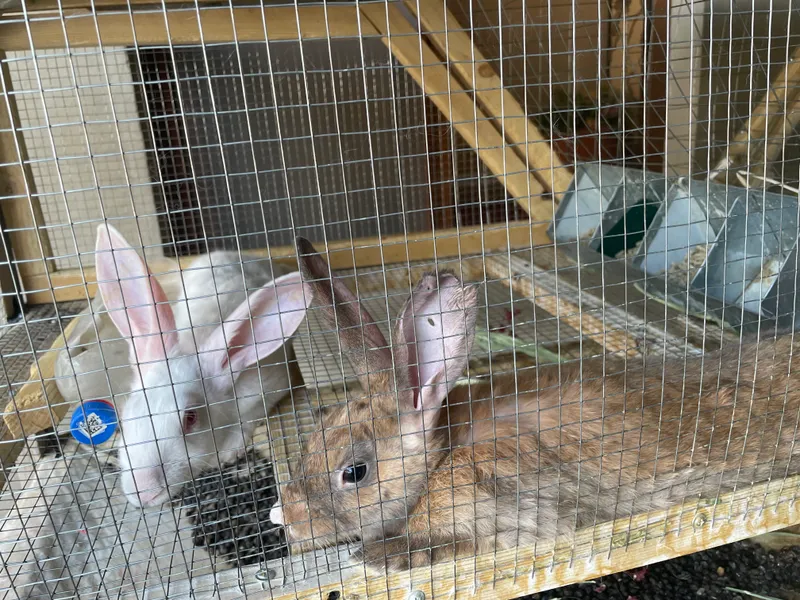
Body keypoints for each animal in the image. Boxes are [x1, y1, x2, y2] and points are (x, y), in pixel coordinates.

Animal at [94, 225, 313, 508]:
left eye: (190, 418)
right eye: (123, 419)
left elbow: (248, 418)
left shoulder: (266, 388)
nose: (144, 492)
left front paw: (229, 452)